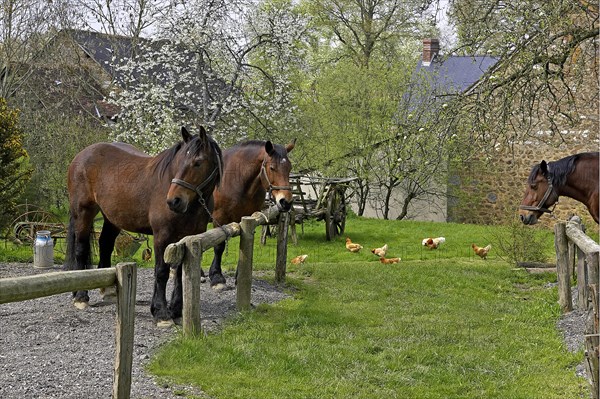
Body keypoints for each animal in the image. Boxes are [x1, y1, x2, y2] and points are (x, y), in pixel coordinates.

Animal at [65, 126, 224, 326]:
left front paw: (176, 310)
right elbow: (162, 272)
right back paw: (80, 297)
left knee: (105, 245)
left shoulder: (187, 238)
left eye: (198, 163)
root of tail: (81, 156)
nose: (174, 201)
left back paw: (108, 290)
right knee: (80, 249)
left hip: (111, 218)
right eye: (179, 161)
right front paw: (161, 313)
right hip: (83, 213)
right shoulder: (162, 236)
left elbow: (180, 272)